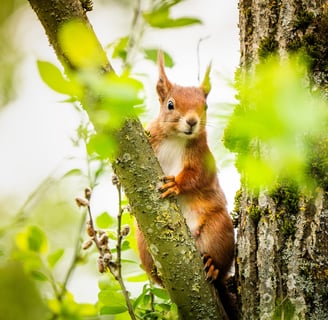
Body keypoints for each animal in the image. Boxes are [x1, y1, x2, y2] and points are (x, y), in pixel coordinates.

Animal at [136, 51, 236, 318]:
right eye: (170, 104)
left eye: (205, 106)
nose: (192, 122)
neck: (176, 138)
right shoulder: (151, 139)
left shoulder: (202, 158)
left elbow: (196, 177)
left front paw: (176, 185)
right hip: (143, 242)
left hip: (219, 230)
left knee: (221, 269)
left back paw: (212, 267)